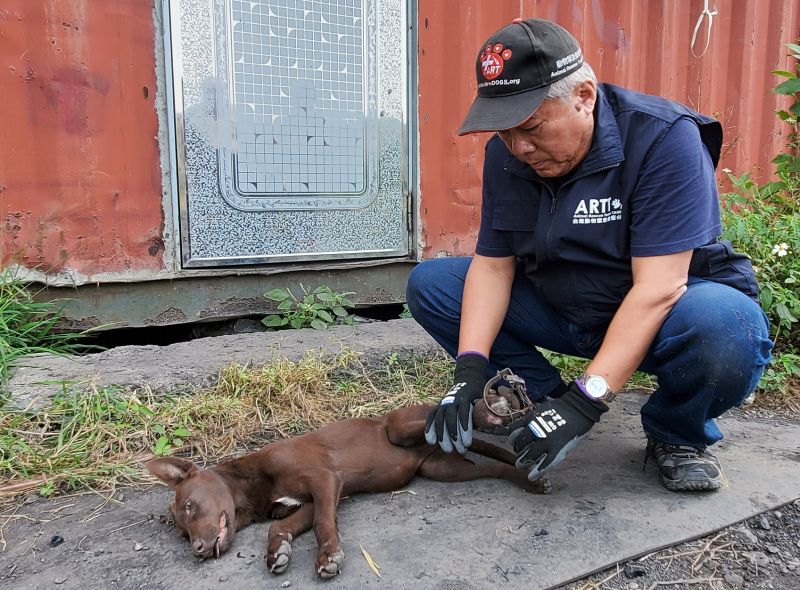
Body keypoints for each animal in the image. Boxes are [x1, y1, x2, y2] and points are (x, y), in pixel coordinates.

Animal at [144, 404, 548, 580]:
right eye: (182, 535)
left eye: (191, 505)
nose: (197, 550)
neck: (253, 482)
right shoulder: (308, 500)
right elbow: (281, 526)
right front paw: (278, 552)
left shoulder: (325, 480)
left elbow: (324, 525)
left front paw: (328, 557)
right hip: (442, 469)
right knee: (492, 465)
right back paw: (524, 477)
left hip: (401, 426)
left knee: (463, 418)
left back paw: (494, 409)